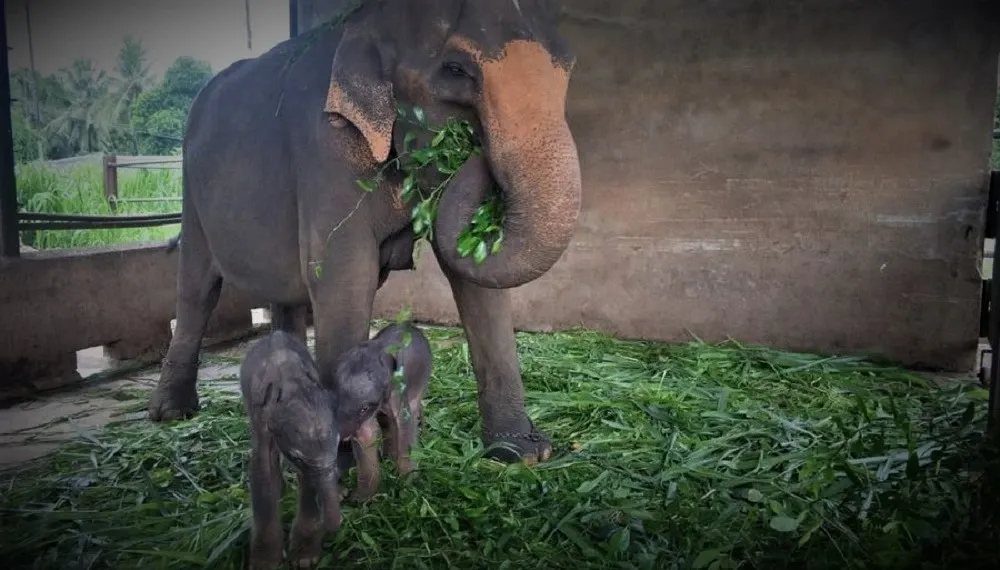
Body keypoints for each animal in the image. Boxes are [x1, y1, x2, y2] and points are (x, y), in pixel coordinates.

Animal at [151, 0, 584, 464]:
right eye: (456, 69)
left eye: (568, 66)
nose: (474, 150)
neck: (369, 23)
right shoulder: (327, 147)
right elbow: (345, 277)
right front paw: (340, 461)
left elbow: (476, 282)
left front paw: (524, 453)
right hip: (191, 194)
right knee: (197, 290)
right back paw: (171, 413)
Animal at [240, 330, 342, 568]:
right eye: (297, 457)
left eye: (339, 444)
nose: (337, 525)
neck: (293, 382)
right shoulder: (261, 414)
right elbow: (261, 466)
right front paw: (265, 563)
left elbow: (309, 480)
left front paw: (304, 559)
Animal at [338, 322, 432, 500]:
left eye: (364, 408)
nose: (343, 436)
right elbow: (367, 435)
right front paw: (360, 498)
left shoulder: (399, 390)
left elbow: (404, 426)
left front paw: (407, 488)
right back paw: (388, 458)